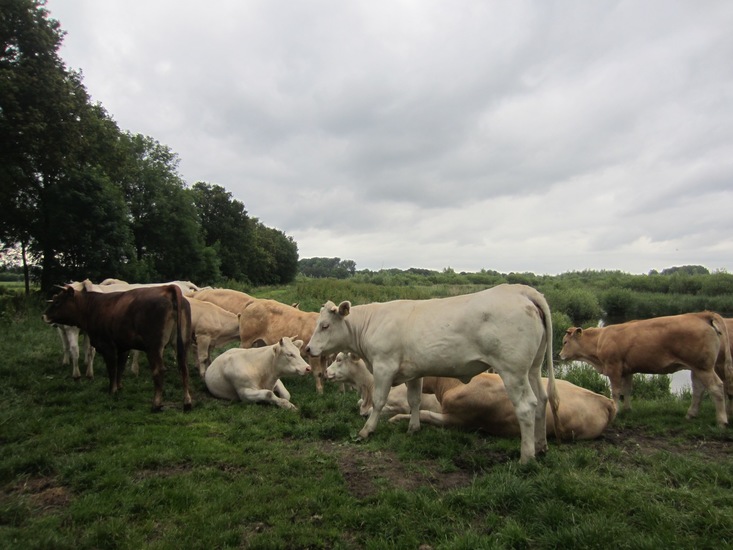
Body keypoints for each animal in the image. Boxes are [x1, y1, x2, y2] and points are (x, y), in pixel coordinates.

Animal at [42, 282, 193, 411]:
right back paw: (187, 402)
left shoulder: (107, 346)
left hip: (154, 347)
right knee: (184, 369)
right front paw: (119, 387)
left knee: (159, 371)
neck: (92, 306)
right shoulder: (123, 346)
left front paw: (112, 390)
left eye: (57, 302)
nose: (44, 315)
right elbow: (120, 367)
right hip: (182, 343)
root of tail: (168, 289)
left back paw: (156, 404)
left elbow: (112, 369)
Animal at [306, 284, 559, 464]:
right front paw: (413, 428)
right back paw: (541, 446)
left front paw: (366, 430)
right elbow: (415, 401)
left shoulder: (384, 366)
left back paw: (526, 457)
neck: (371, 323)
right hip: (533, 368)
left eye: (325, 325)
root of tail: (520, 290)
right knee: (542, 400)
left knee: (526, 406)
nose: (308, 349)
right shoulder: (413, 372)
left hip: (513, 371)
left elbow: (378, 402)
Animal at [559, 311, 733, 427]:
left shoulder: (614, 368)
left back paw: (722, 420)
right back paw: (691, 414)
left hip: (704, 368)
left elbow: (615, 392)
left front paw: (616, 410)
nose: (560, 355)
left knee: (717, 388)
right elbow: (627, 391)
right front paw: (627, 409)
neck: (600, 340)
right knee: (698, 390)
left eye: (565, 342)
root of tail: (702, 315)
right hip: (696, 368)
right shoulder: (627, 371)